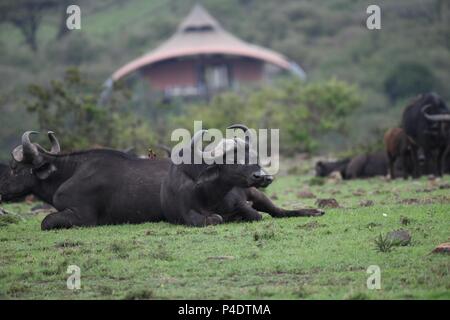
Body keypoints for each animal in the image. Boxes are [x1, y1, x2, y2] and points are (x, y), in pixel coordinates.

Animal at [161, 124, 324, 226]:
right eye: (233, 160)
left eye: (255, 157)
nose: (264, 177)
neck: (209, 195)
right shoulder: (187, 215)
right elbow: (218, 218)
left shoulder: (243, 204)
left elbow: (256, 214)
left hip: (258, 194)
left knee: (279, 211)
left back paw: (315, 211)